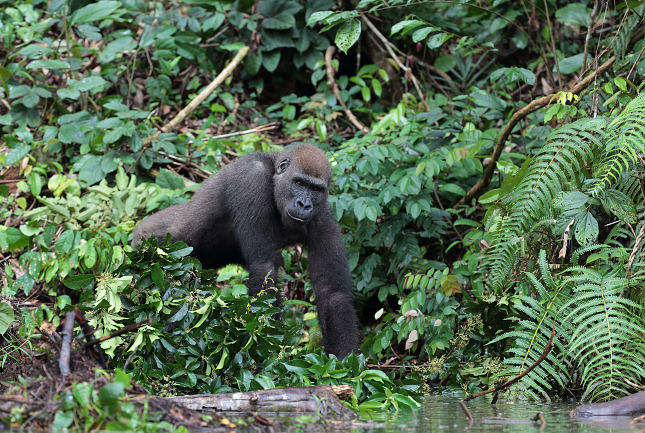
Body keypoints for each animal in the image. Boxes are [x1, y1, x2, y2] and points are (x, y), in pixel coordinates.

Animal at [132, 143, 358, 356]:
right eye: (299, 183)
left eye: (316, 190)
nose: (304, 204)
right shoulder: (253, 178)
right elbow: (264, 266)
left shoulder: (323, 215)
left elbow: (333, 293)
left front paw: (345, 364)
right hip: (149, 247)